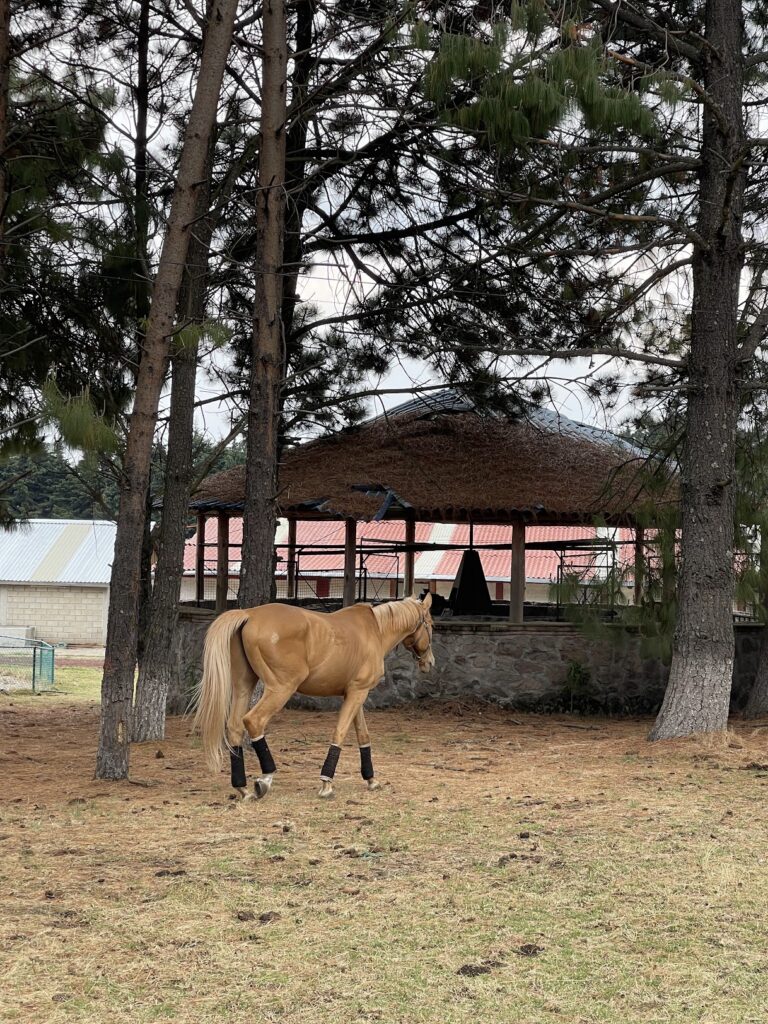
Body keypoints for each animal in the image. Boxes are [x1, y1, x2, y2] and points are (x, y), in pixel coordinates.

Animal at [193, 593, 435, 799]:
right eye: (431, 625)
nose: (430, 662)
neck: (375, 630)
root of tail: (249, 614)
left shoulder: (355, 694)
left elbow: (363, 736)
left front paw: (371, 779)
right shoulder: (358, 692)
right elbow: (340, 733)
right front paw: (326, 783)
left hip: (244, 686)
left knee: (234, 727)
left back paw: (242, 787)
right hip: (281, 688)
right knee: (254, 721)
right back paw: (266, 778)